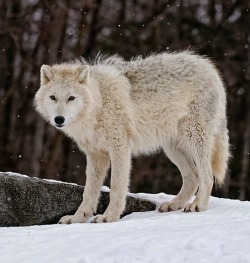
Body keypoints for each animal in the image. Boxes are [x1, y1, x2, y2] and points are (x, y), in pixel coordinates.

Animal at [34, 52, 229, 225]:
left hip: (194, 139)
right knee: (192, 177)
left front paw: (109, 217)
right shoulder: (96, 155)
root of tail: (210, 68)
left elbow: (116, 186)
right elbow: (89, 191)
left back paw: (197, 206)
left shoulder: (119, 148)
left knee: (207, 176)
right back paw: (174, 205)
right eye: (53, 97)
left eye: (71, 98)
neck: (99, 103)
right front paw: (77, 218)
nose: (59, 119)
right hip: (172, 148)